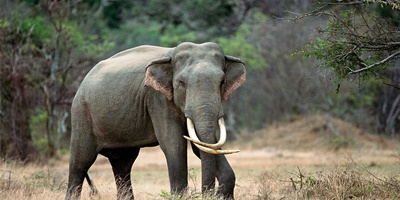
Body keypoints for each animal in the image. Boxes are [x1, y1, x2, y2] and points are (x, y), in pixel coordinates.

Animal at [65, 41, 245, 199]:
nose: (208, 194)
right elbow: (173, 143)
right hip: (81, 112)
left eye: (222, 82)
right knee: (80, 162)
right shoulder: (157, 98)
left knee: (122, 164)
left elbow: (202, 144)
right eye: (182, 83)